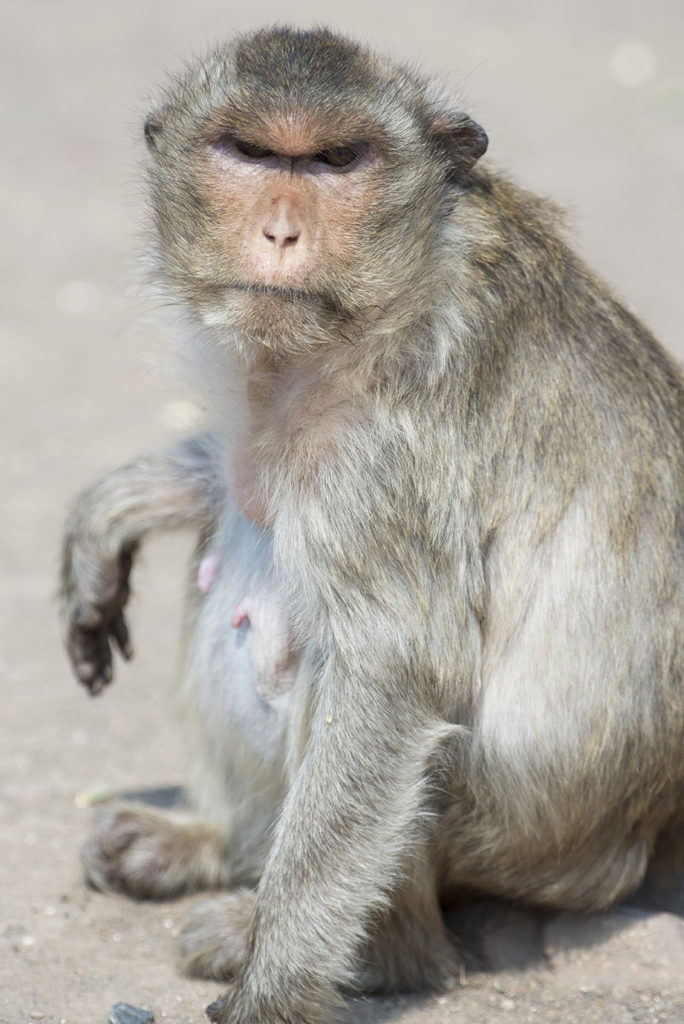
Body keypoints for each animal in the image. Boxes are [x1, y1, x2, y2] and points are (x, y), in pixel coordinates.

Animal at [60, 24, 684, 1024]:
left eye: (336, 161)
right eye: (251, 153)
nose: (281, 232)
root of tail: (643, 839)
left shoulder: (385, 450)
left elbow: (393, 676)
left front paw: (271, 988)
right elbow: (242, 480)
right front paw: (120, 504)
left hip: (513, 845)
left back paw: (371, 953)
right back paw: (207, 846)